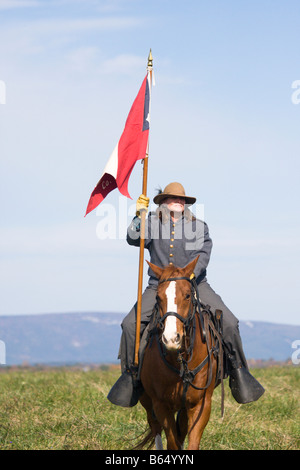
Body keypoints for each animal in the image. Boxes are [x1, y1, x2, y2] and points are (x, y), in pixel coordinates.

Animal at [137, 258, 224, 452]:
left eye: (187, 295)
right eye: (158, 297)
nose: (171, 339)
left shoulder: (200, 405)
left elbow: (190, 441)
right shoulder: (160, 405)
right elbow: (172, 442)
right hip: (148, 402)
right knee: (156, 429)